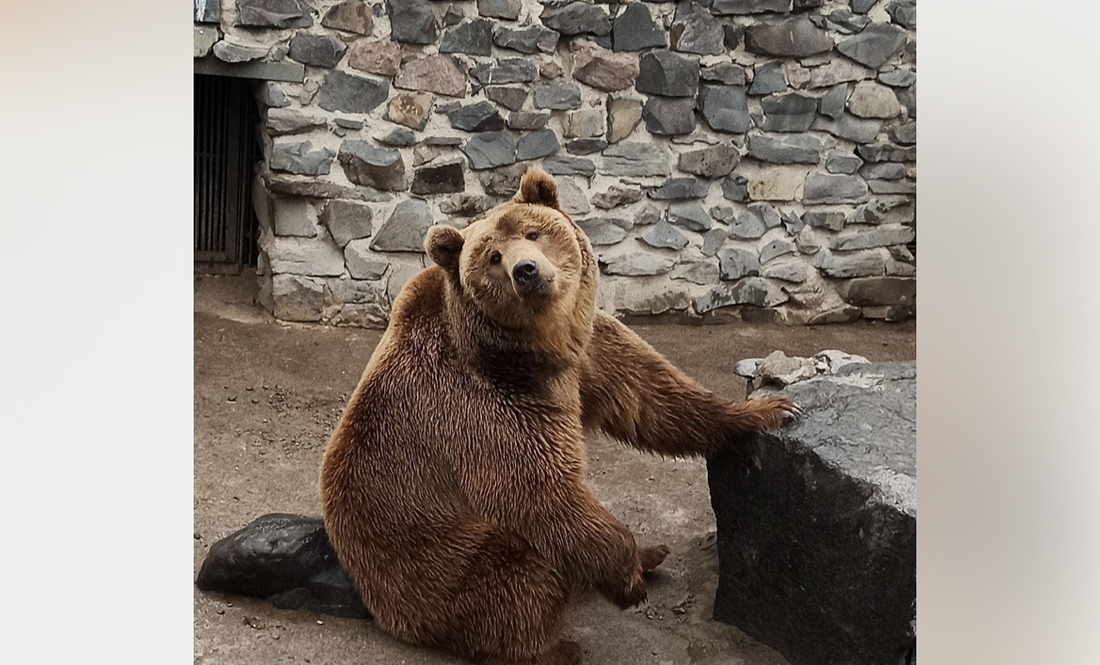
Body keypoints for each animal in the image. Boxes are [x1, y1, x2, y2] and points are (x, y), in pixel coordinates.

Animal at [319, 168, 800, 659]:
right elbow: (539, 492)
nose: (526, 271)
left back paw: (652, 554)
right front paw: (627, 579)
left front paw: (770, 409)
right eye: (493, 257)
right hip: (431, 556)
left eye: (533, 233)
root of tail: (377, 601)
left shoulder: (584, 355)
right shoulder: (484, 407)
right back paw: (558, 646)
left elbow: (652, 396)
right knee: (516, 575)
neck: (533, 350)